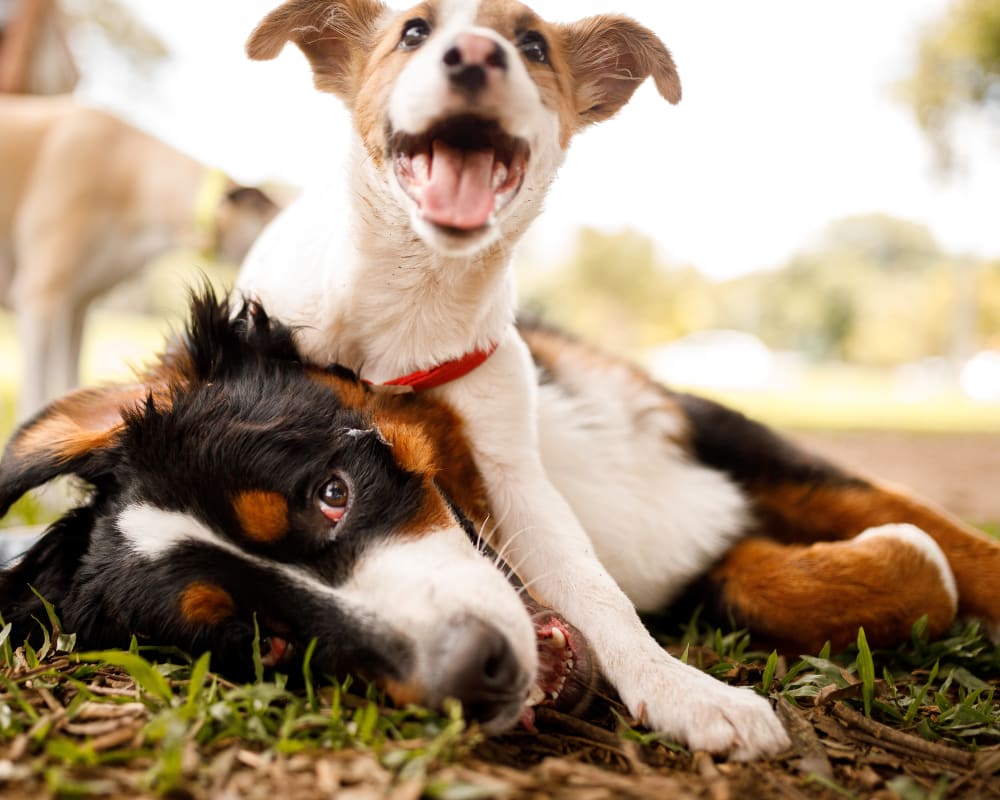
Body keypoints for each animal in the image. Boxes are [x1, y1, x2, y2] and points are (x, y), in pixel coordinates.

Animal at [236, 0, 1000, 760]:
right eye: (414, 32)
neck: (413, 305)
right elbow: (900, 563)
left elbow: (953, 543)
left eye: (533, 45)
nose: (476, 56)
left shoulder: (549, 463)